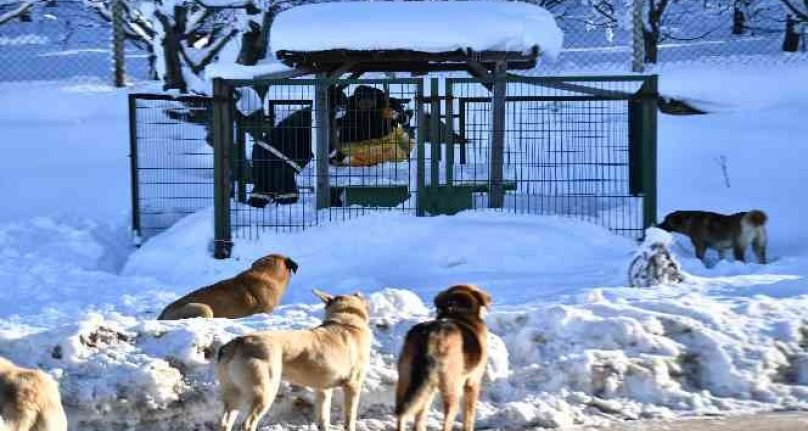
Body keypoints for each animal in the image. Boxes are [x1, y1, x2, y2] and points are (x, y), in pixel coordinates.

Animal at [392, 284, 490, 431]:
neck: (458, 310)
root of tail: (431, 335)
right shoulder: (472, 382)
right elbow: (469, 417)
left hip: (407, 380)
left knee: (404, 414)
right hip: (452, 387)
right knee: (447, 419)